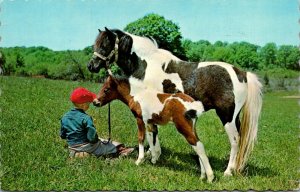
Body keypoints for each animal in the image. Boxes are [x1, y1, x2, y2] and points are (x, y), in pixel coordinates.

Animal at [88, 27, 262, 179]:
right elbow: (153, 132)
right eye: (95, 44)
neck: (146, 64)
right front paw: (153, 154)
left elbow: (152, 134)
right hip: (234, 117)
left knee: (235, 141)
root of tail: (242, 73)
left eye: (104, 45)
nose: (91, 66)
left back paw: (228, 171)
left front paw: (152, 156)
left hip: (227, 117)